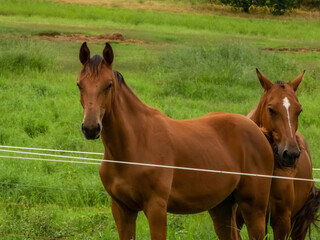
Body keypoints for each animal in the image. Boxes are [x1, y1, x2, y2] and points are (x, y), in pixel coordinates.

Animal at [76, 42, 274, 239]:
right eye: (79, 85)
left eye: (108, 85)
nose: (91, 128)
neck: (135, 145)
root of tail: (257, 129)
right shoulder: (121, 209)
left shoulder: (156, 208)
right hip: (222, 207)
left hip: (254, 208)